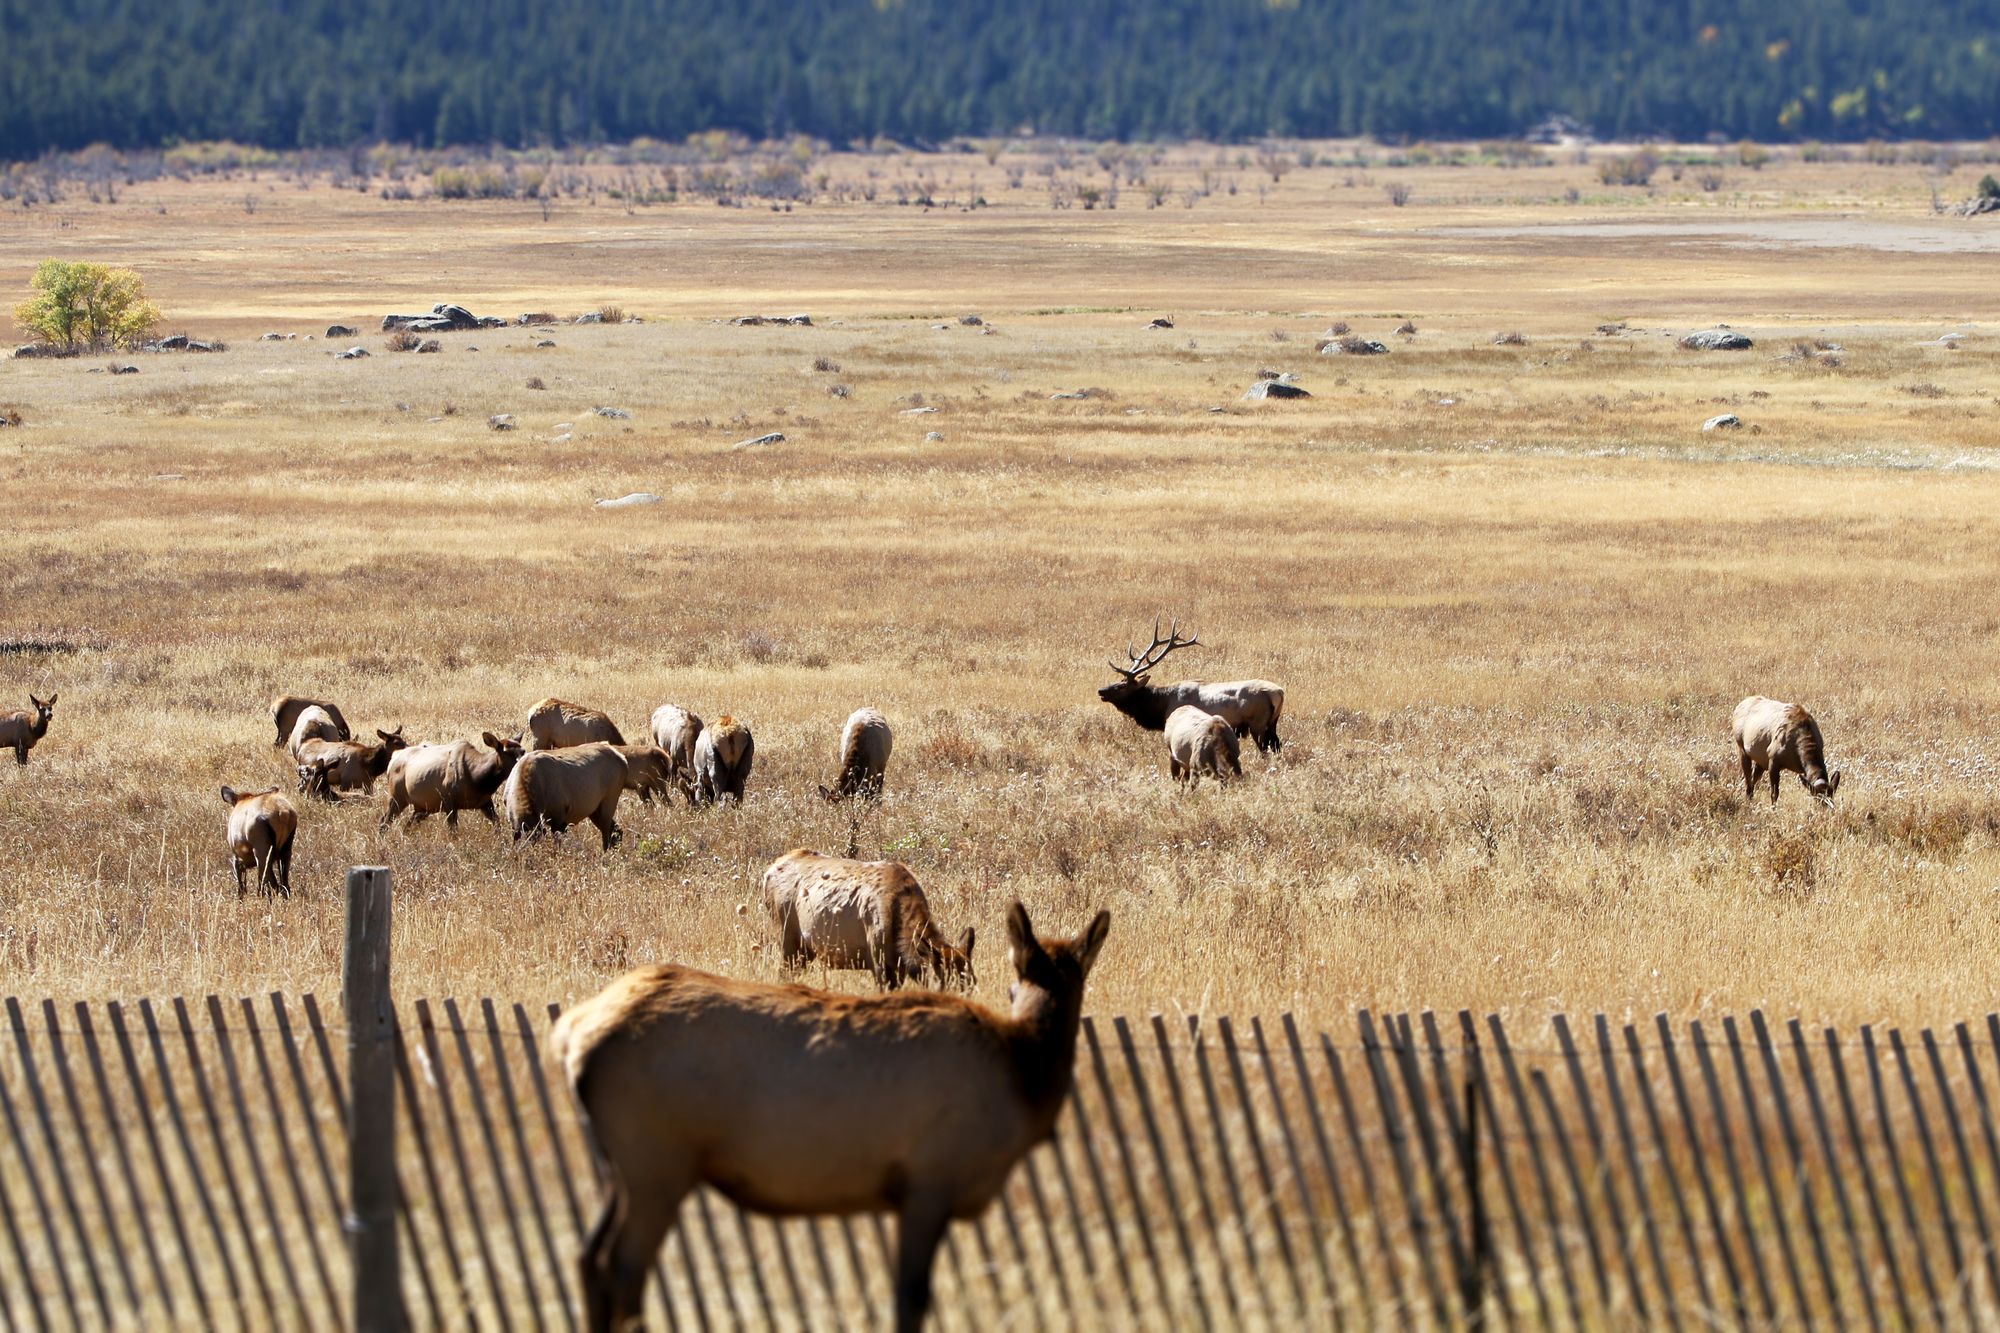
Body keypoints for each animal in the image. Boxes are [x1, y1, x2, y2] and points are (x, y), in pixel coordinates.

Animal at [552, 900, 1110, 1333]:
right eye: (1013, 991)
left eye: (1071, 987)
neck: (1021, 1076)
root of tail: (573, 1035)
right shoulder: (930, 1180)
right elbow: (910, 1299)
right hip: (656, 1162)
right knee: (622, 1268)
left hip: (620, 1168)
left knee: (587, 1258)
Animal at [1096, 619, 1285, 752]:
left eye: (1121, 686)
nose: (1101, 690)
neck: (1161, 705)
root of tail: (1279, 692)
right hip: (1271, 724)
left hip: (1257, 724)